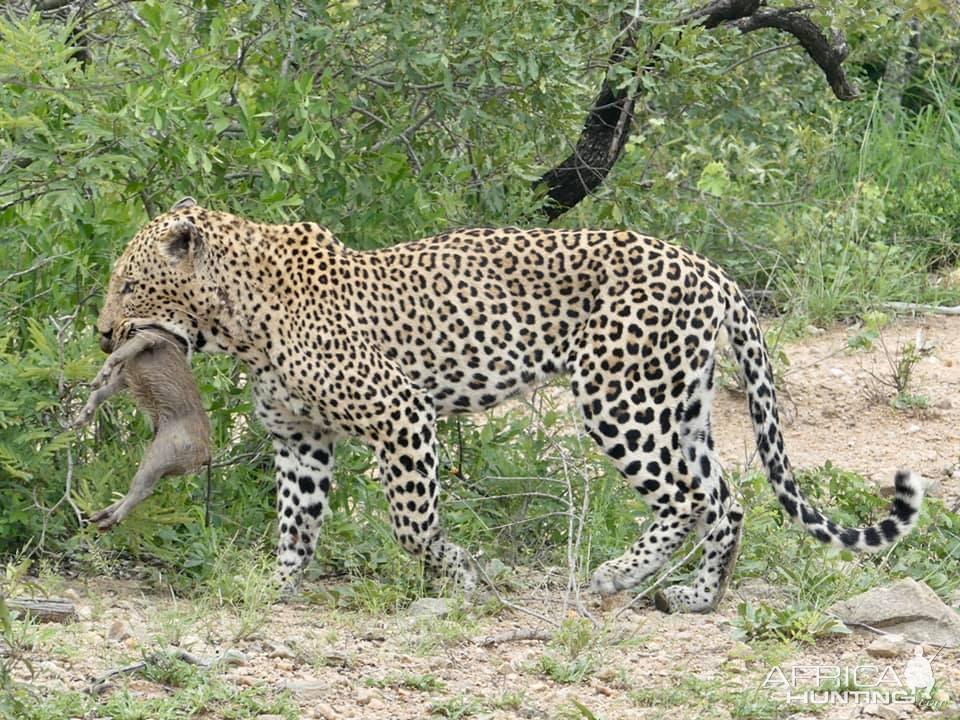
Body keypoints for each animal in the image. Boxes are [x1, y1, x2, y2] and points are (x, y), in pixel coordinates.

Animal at [94, 198, 928, 612]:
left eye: (130, 284)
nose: (103, 331)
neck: (239, 321)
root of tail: (711, 270)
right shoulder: (301, 439)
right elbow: (296, 524)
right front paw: (275, 589)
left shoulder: (402, 414)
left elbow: (412, 523)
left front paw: (461, 576)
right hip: (676, 402)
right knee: (725, 498)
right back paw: (694, 595)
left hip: (618, 396)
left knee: (689, 497)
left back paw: (614, 577)